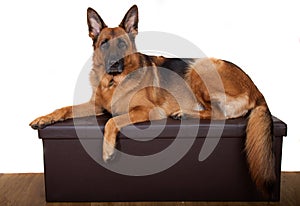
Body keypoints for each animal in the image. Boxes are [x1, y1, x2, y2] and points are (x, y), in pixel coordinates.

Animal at [29, 4, 274, 195]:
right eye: (104, 43)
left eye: (122, 44)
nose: (114, 63)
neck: (113, 84)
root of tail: (257, 90)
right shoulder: (96, 106)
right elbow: (64, 108)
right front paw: (44, 118)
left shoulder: (147, 111)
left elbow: (112, 121)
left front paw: (107, 150)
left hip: (200, 67)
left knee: (219, 115)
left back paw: (185, 113)